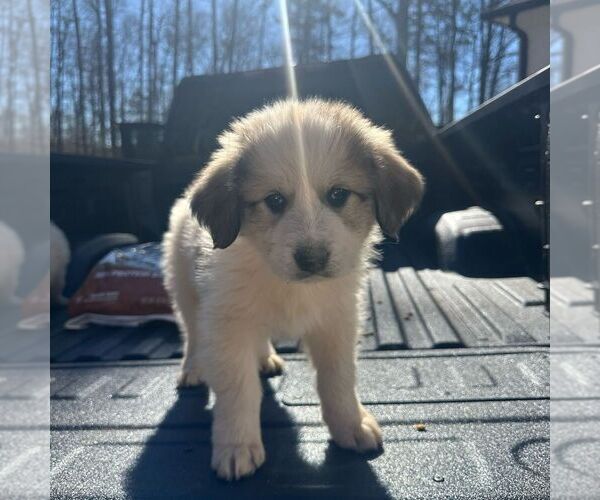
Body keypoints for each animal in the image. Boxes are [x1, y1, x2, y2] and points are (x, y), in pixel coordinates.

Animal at [162, 98, 424, 480]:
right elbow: (239, 390)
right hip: (185, 289)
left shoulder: (336, 321)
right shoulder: (228, 324)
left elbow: (338, 379)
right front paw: (236, 445)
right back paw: (193, 368)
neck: (286, 284)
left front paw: (351, 425)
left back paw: (265, 357)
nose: (312, 258)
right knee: (193, 334)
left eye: (338, 194)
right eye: (274, 200)